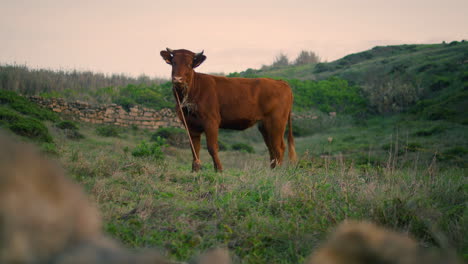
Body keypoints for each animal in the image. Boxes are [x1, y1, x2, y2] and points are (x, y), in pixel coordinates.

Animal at [159, 47, 294, 172]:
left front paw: (218, 170)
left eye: (189, 64)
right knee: (271, 148)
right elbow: (194, 149)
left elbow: (212, 147)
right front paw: (195, 171)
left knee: (279, 147)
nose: (177, 79)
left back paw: (277, 172)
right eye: (174, 62)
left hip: (276, 122)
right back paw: (271, 171)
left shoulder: (211, 121)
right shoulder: (190, 124)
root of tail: (280, 82)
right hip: (264, 125)